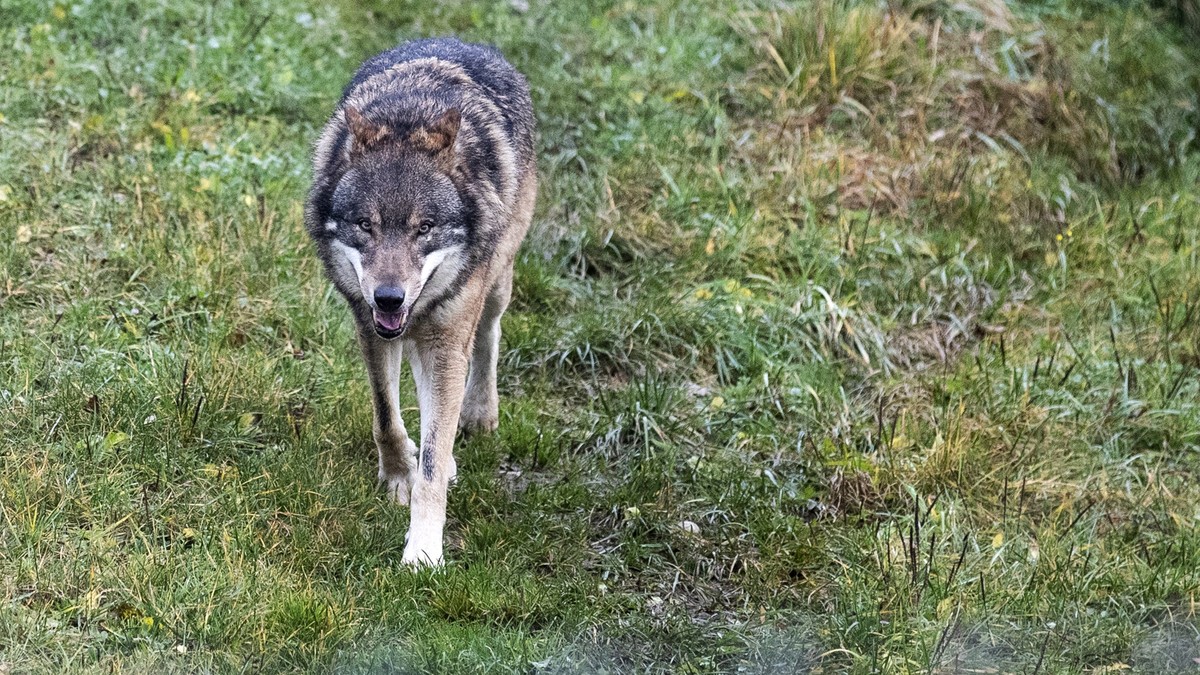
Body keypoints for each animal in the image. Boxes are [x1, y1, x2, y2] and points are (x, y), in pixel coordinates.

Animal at [304, 38, 537, 566]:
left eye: (424, 227)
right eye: (365, 225)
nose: (389, 297)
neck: (408, 116)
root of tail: (462, 40)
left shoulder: (447, 341)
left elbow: (433, 459)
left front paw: (424, 552)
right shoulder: (369, 327)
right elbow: (387, 418)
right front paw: (397, 478)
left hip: (494, 285)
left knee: (488, 337)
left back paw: (478, 414)